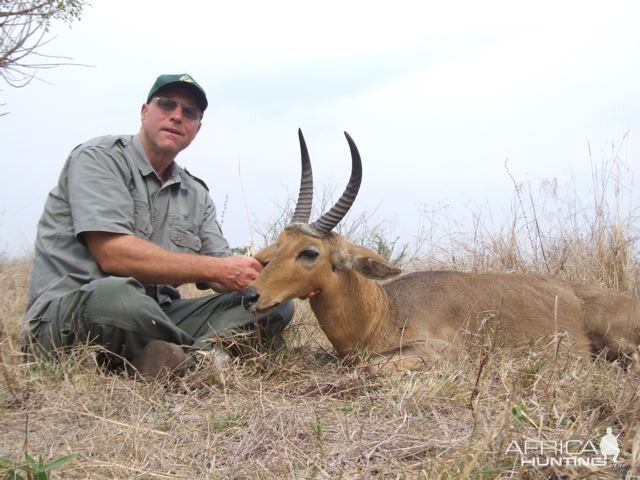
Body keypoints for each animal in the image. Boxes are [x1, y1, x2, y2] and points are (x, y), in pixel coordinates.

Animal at [242, 129, 636, 374]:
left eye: (309, 252)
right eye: (277, 246)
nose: (250, 295)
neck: (384, 312)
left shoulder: (442, 354)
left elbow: (372, 366)